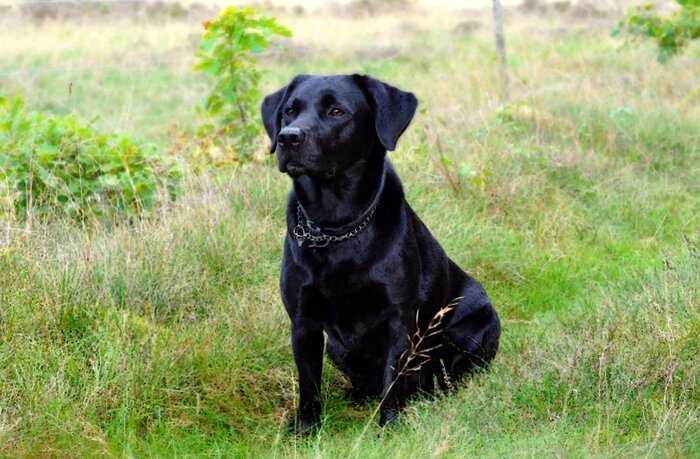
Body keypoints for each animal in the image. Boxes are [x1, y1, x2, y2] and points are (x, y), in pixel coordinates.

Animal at [262, 73, 498, 434]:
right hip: (337, 348)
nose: (288, 137)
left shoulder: (398, 318)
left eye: (336, 111)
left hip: (476, 327)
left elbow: (393, 379)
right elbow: (309, 384)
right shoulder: (303, 321)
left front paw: (389, 425)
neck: (336, 225)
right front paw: (306, 429)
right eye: (290, 110)